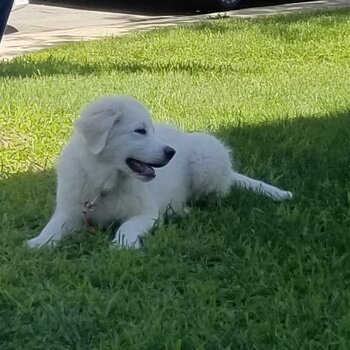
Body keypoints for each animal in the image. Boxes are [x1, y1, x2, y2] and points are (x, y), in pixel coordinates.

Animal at [26, 95, 292, 249]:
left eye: (151, 130)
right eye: (140, 131)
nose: (171, 152)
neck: (105, 182)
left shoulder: (146, 213)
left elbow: (127, 227)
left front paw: (123, 245)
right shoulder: (70, 211)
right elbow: (52, 227)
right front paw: (37, 243)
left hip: (207, 158)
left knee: (213, 197)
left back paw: (182, 210)